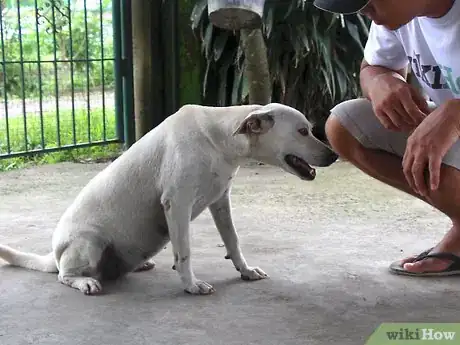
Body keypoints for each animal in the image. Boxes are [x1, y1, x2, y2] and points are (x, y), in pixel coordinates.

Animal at [0, 102, 338, 292]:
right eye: (303, 131)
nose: (334, 155)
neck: (218, 139)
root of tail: (54, 254)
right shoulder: (177, 205)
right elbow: (184, 252)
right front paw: (191, 285)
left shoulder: (220, 201)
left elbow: (233, 241)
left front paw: (245, 271)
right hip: (88, 243)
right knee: (64, 275)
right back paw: (84, 281)